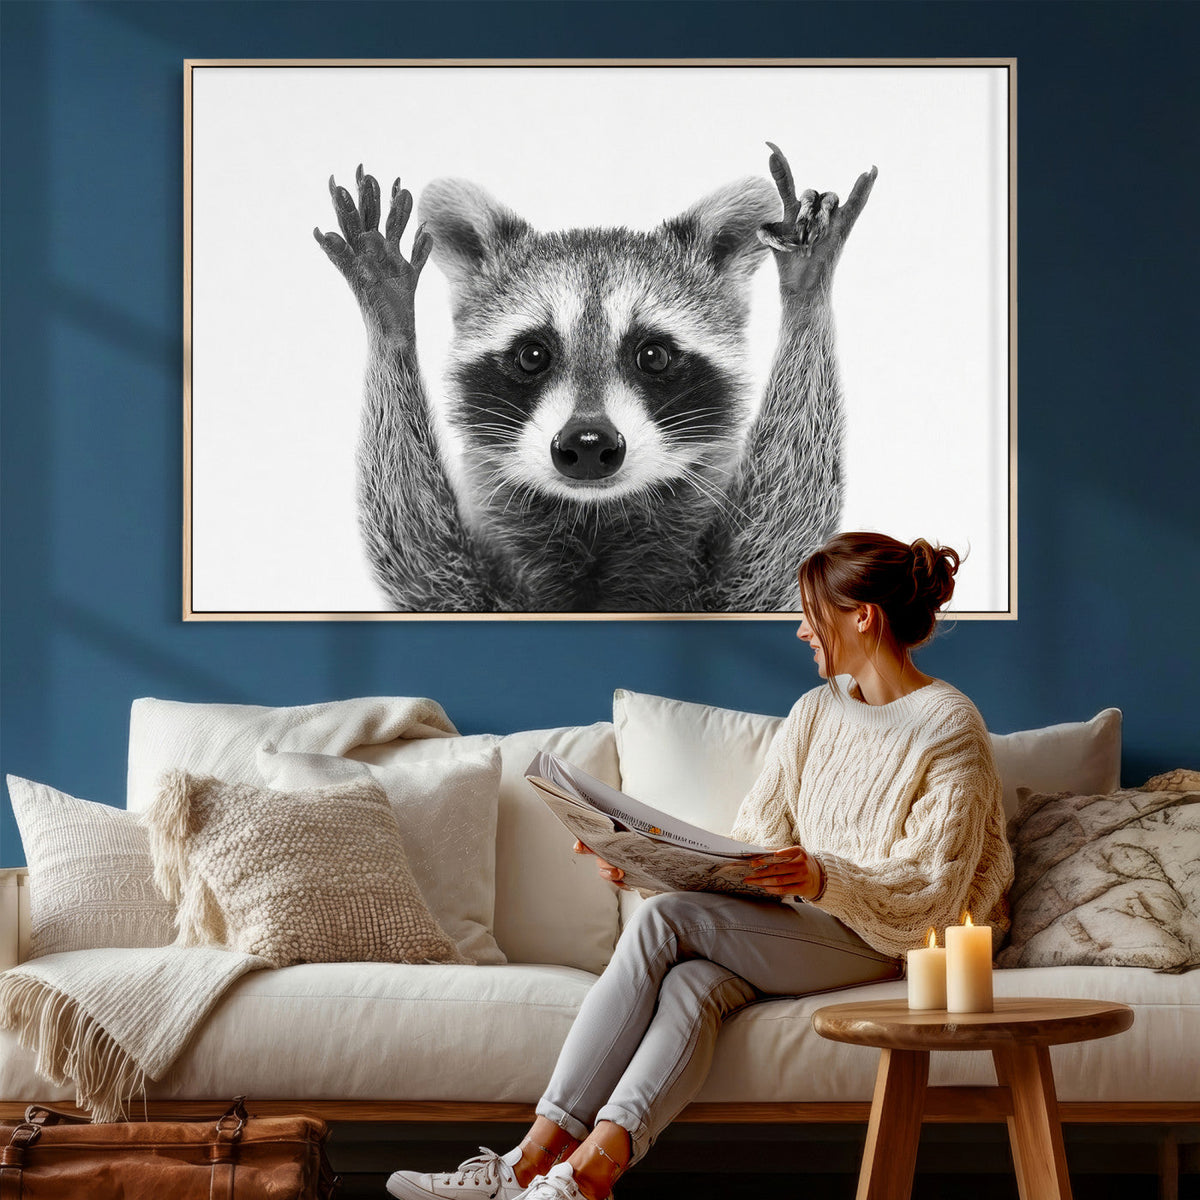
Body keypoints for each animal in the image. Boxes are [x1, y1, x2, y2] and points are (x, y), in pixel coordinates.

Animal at [314, 143, 875, 612]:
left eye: (653, 356)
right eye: (532, 355)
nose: (587, 443)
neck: (594, 521)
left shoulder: (730, 589)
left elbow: (782, 533)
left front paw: (806, 290)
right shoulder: (468, 591)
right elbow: (416, 553)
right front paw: (390, 318)